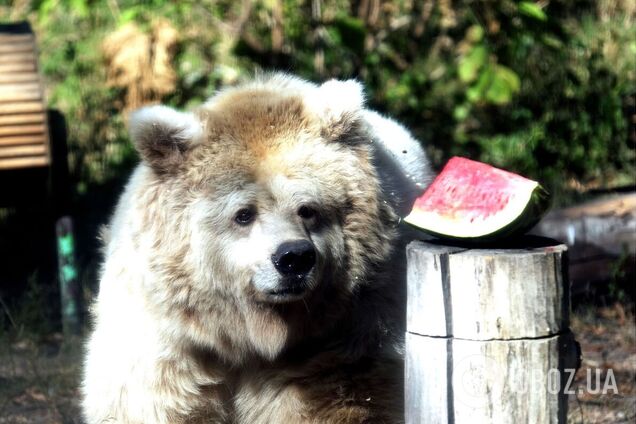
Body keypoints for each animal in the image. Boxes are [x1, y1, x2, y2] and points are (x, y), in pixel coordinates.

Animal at [82, 74, 432, 422]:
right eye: (244, 213)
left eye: (308, 209)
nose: (294, 258)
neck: (247, 334)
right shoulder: (171, 343)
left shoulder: (344, 335)